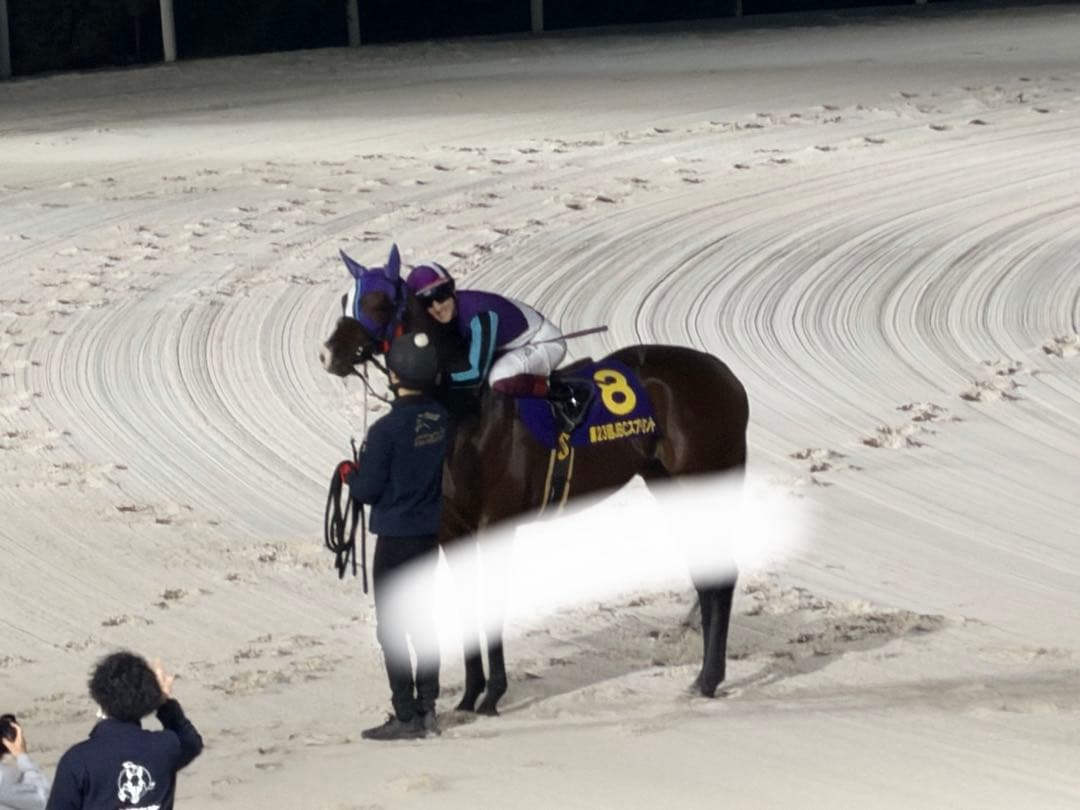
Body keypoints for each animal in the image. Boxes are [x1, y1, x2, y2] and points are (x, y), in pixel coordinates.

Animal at [320, 246, 749, 715]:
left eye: (378, 302)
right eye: (345, 299)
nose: (329, 353)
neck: (464, 410)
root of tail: (727, 376)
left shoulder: (496, 523)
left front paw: (492, 695)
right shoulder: (450, 528)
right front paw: (469, 697)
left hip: (703, 477)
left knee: (722, 578)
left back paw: (708, 678)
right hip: (669, 485)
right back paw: (702, 678)